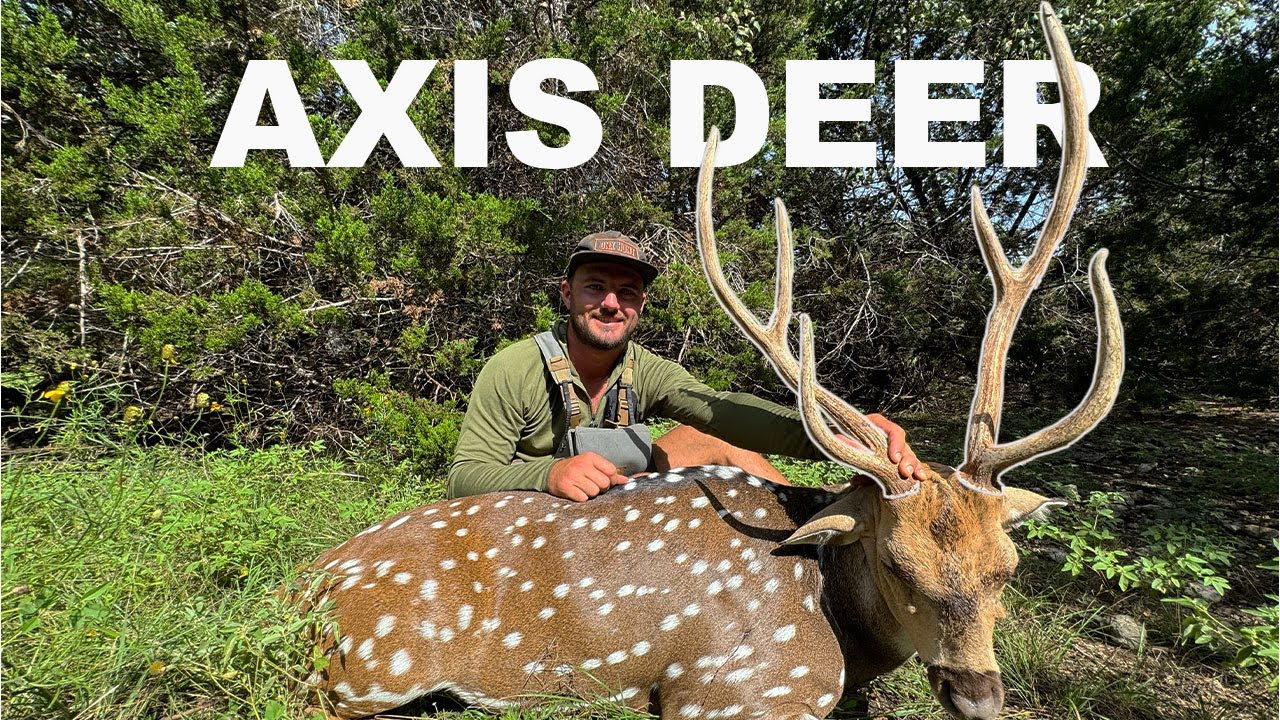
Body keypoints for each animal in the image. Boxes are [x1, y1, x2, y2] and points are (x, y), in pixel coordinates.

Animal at [295, 4, 1123, 719]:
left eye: (1008, 569)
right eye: (896, 563)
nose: (977, 694)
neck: (831, 613)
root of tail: (298, 588)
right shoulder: (735, 685)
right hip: (369, 666)